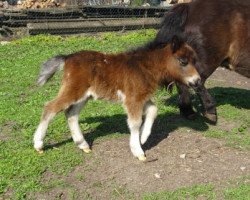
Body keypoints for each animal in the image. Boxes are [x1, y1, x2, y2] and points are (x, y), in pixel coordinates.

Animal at [33, 36, 201, 161]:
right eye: (183, 61)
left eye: (195, 61)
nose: (197, 81)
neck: (144, 68)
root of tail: (68, 58)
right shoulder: (133, 99)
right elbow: (135, 123)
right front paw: (138, 151)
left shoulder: (140, 97)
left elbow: (153, 110)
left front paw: (143, 137)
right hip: (73, 90)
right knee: (50, 108)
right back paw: (38, 145)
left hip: (84, 95)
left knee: (71, 114)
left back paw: (83, 145)